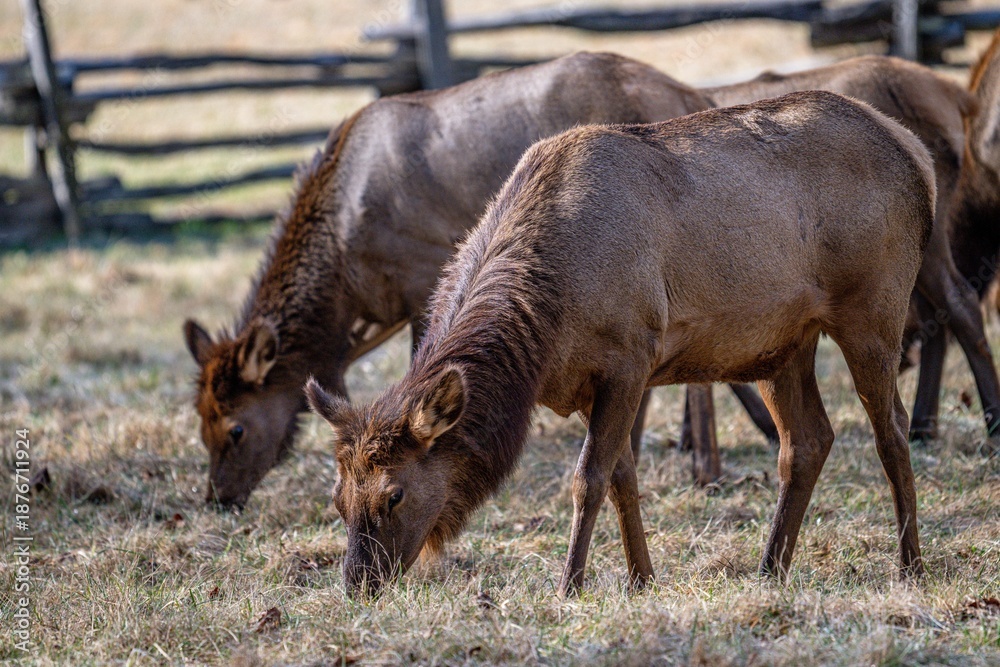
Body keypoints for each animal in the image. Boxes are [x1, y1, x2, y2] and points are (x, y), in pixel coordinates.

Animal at [182, 51, 779, 508]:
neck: (345, 289)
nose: (218, 498)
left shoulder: (422, 278)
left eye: (235, 428)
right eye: (201, 422)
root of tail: (691, 93)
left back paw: (707, 465)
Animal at [306, 91, 935, 597]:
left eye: (393, 496)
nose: (358, 584)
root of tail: (915, 152)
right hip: (781, 342)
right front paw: (641, 579)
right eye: (338, 499)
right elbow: (621, 479)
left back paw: (910, 566)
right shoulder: (588, 381)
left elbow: (588, 479)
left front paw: (571, 584)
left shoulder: (630, 356)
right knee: (806, 442)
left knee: (891, 428)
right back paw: (770, 567)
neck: (543, 332)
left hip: (874, 308)